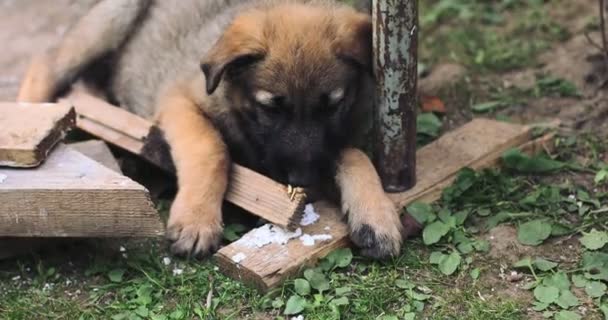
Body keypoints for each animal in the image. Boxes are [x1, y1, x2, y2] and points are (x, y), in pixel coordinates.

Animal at [16, 0, 404, 258]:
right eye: (270, 107)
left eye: (334, 105)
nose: (306, 180)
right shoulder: (179, 99)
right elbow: (212, 149)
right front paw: (196, 220)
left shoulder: (329, 141)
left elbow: (352, 154)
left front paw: (376, 214)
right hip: (113, 17)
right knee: (47, 63)